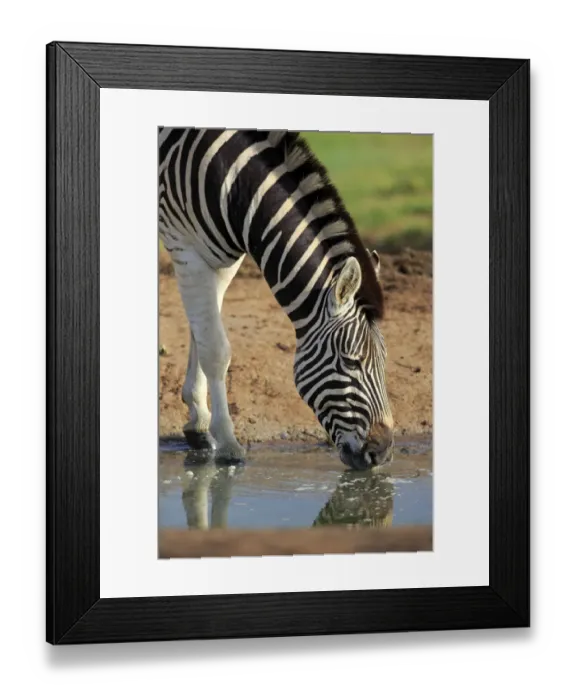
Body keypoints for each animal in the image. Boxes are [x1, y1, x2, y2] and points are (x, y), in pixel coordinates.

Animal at [159, 127, 394, 470]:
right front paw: (227, 442)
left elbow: (200, 333)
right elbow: (216, 348)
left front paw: (199, 420)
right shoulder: (184, 246)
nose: (383, 453)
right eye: (351, 361)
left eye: (384, 361)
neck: (234, 186)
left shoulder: (221, 259)